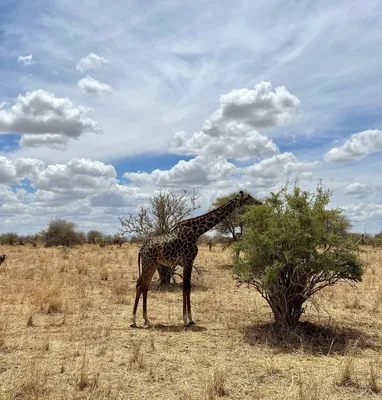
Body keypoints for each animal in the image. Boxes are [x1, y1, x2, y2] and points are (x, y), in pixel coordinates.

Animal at [130, 191, 262, 328]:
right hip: (148, 263)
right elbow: (185, 288)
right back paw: (133, 320)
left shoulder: (189, 262)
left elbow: (188, 288)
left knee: (145, 286)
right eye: (247, 198)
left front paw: (191, 319)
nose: (259, 203)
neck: (196, 232)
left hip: (153, 264)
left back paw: (146, 320)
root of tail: (142, 248)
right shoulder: (188, 261)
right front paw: (185, 320)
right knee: (140, 285)